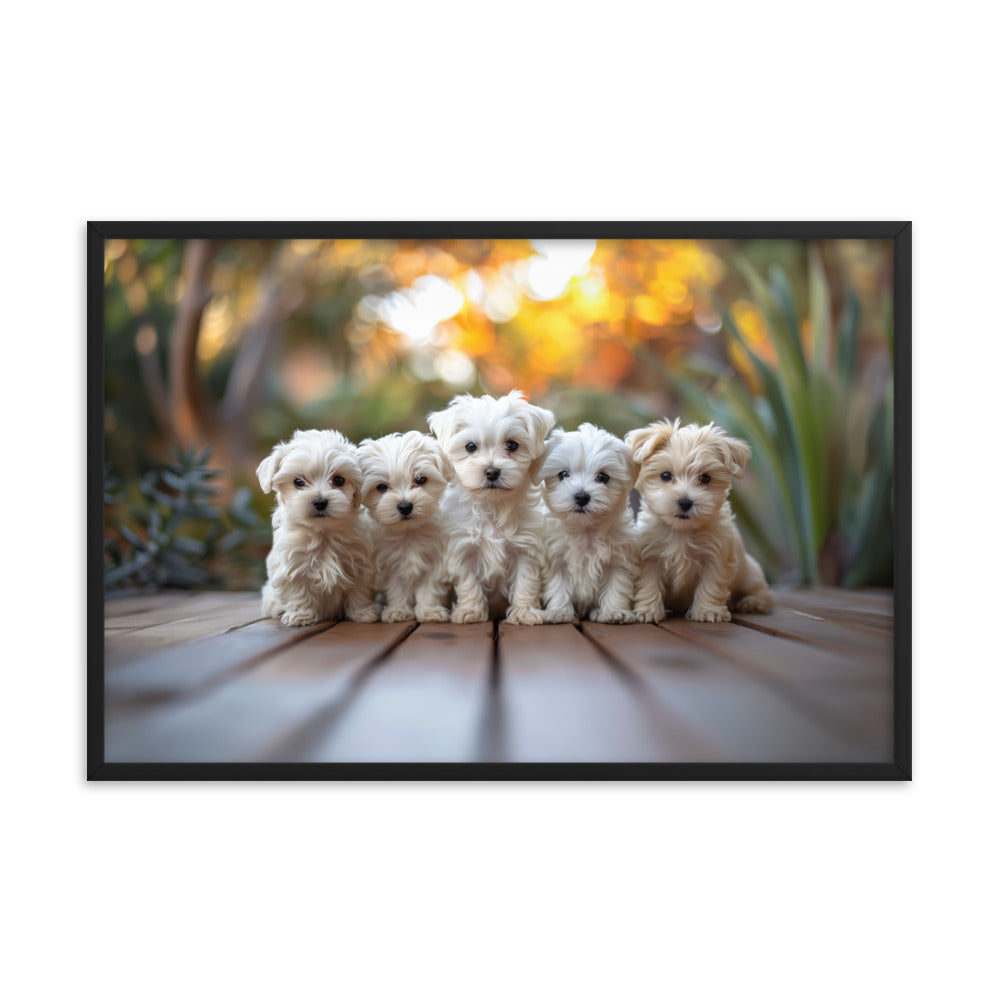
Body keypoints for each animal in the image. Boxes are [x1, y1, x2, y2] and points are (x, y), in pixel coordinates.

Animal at [256, 428, 380, 624]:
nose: (320, 501)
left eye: (339, 480)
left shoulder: (360, 563)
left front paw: (362, 612)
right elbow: (297, 590)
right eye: (298, 482)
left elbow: (359, 591)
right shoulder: (292, 565)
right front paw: (300, 615)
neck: (323, 532)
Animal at [358, 432, 452, 624]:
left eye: (421, 479)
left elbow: (429, 588)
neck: (409, 532)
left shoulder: (434, 562)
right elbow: (397, 589)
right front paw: (398, 611)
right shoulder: (390, 564)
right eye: (381, 487)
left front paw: (429, 611)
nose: (405, 506)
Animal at [428, 386, 560, 620]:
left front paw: (524, 613)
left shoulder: (526, 550)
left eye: (512, 445)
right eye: (470, 446)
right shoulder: (464, 550)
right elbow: (469, 584)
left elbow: (526, 582)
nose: (492, 471)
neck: (493, 506)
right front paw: (470, 612)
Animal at [540, 422, 640, 624]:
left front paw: (614, 611)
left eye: (603, 477)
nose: (581, 496)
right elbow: (558, 585)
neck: (585, 529)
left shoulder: (618, 559)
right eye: (563, 474)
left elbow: (617, 585)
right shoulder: (556, 559)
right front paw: (558, 611)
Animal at [624, 422, 772, 624]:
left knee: (763, 594)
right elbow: (648, 584)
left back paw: (751, 602)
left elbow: (711, 584)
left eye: (705, 478)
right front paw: (647, 610)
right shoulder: (650, 557)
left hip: (751, 574)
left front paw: (708, 611)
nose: (685, 502)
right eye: (665, 475)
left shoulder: (716, 557)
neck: (682, 531)